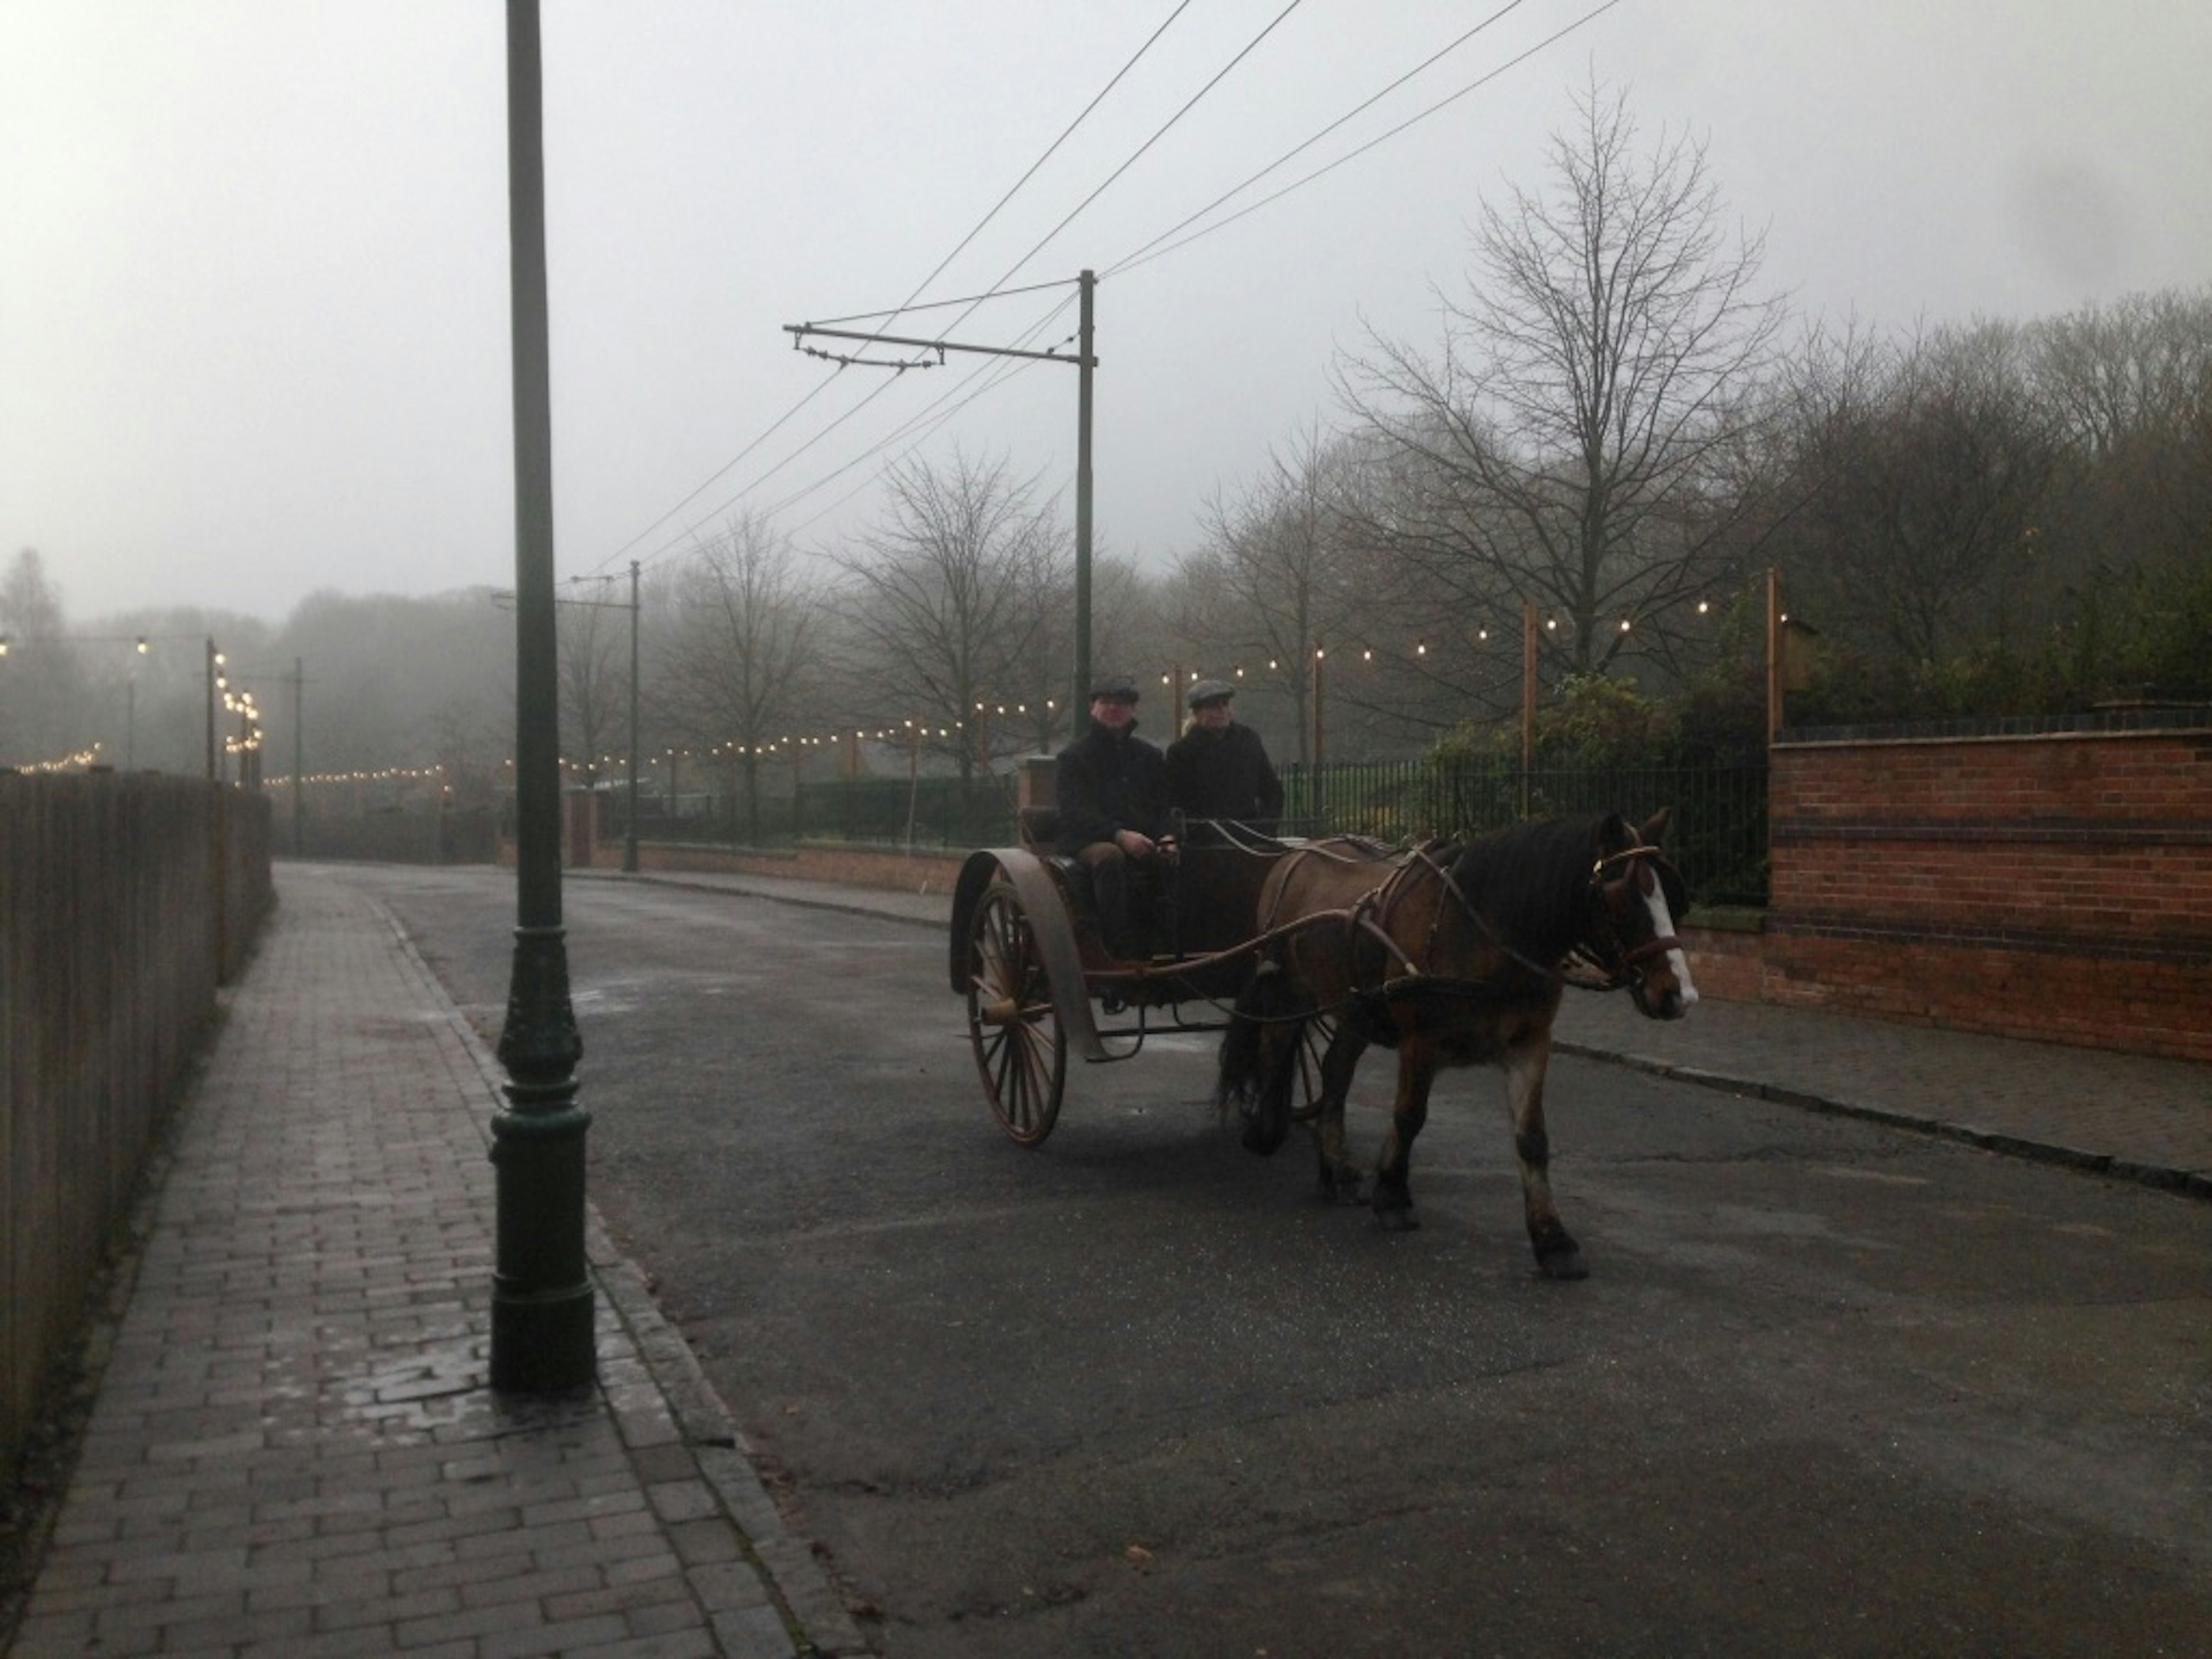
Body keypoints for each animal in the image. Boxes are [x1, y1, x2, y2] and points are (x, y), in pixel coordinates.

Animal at [1212, 814, 1690, 1283]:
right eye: (1623, 902)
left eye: (1675, 898)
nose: (1678, 996)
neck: (1488, 933)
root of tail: (1295, 854)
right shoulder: (1420, 1042)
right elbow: (1409, 1118)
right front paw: (1393, 1196)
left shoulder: (1530, 1045)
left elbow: (1532, 1139)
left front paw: (1553, 1240)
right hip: (1289, 991)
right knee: (1274, 1050)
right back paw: (1266, 1131)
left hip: (1356, 1007)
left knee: (1335, 1071)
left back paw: (1338, 1169)